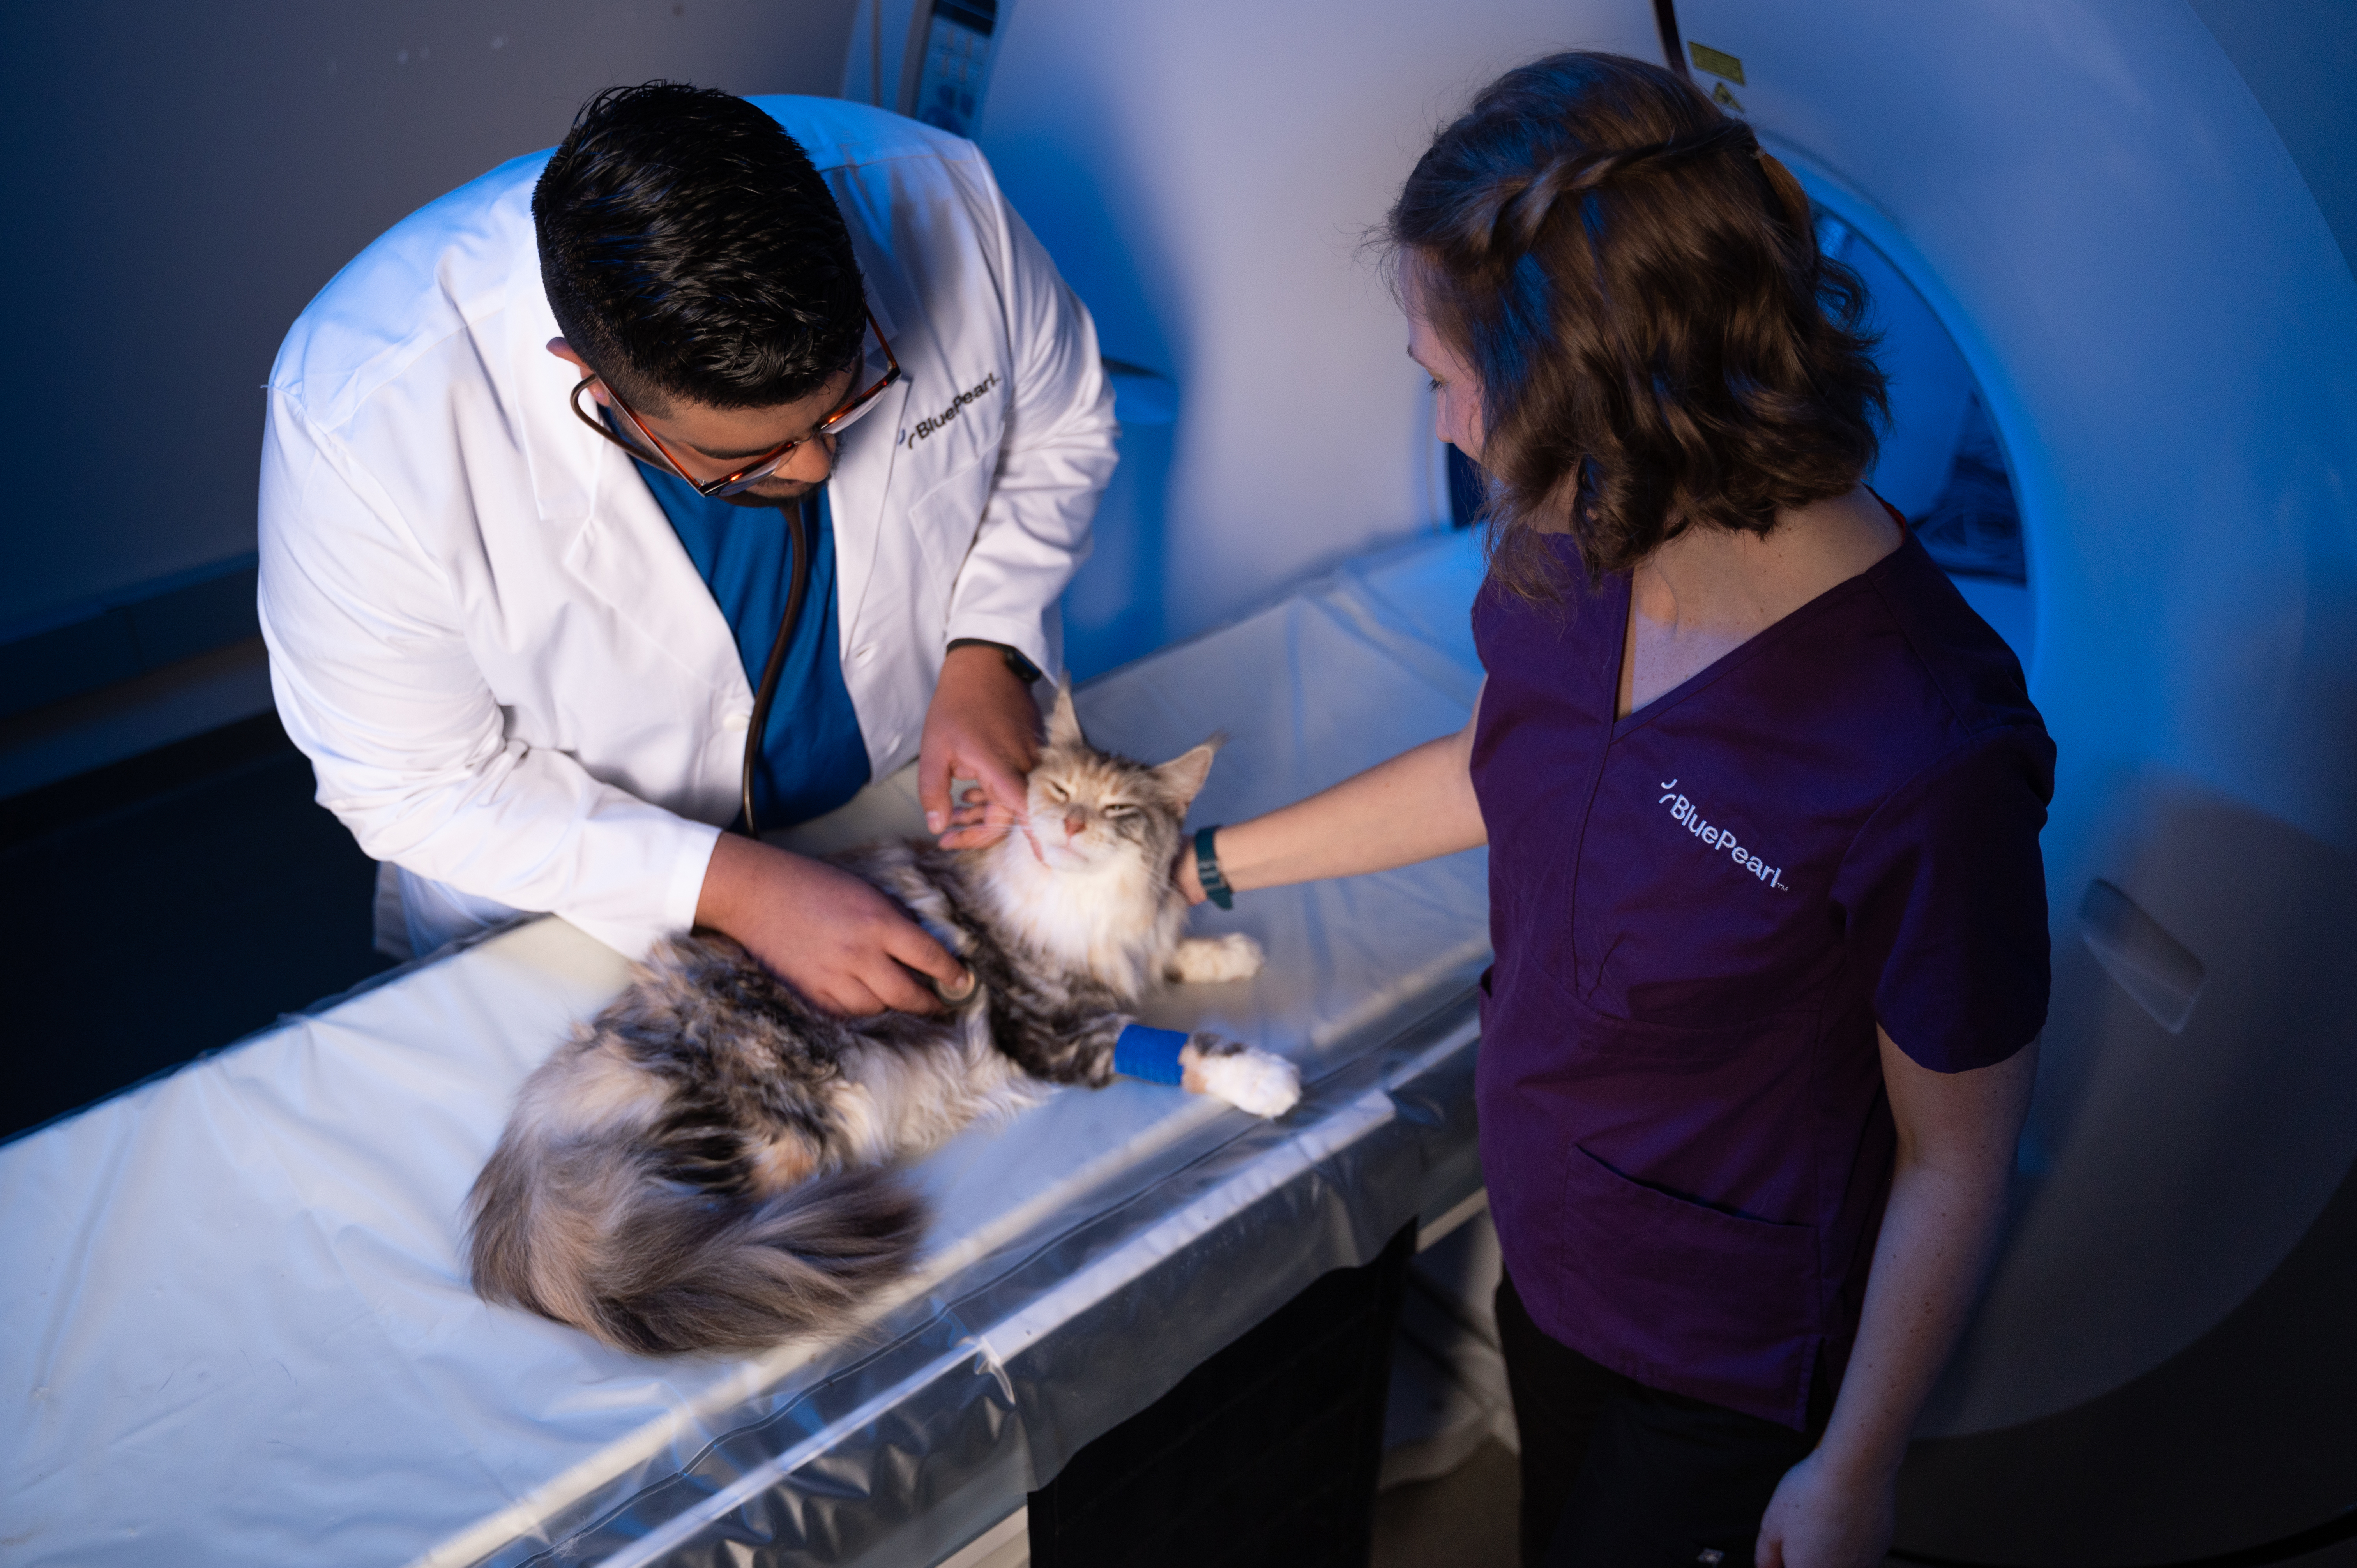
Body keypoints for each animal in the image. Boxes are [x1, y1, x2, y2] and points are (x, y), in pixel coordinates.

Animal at [466, 693, 1301, 1349]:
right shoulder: (1048, 1027)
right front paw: (1267, 1076)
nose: (1069, 824)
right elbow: (1183, 1045)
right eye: (1061, 788)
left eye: (1118, 809)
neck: (1085, 912)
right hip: (784, 1122)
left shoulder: (1121, 960)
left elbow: (1172, 954)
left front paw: (1230, 951)